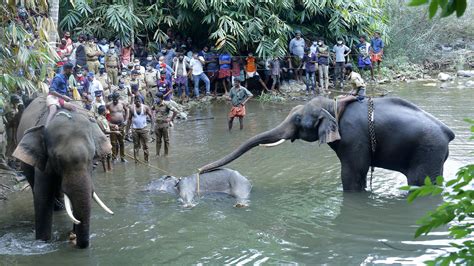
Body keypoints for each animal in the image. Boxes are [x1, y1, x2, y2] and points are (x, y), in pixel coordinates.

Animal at [13, 96, 114, 248]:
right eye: (57, 158)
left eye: (92, 157)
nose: (74, 237)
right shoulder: (44, 162)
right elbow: (42, 197)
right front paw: (42, 242)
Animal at [198, 96, 454, 190]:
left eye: (298, 119)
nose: (200, 171)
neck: (334, 105)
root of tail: (447, 132)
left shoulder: (353, 137)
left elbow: (353, 173)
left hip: (428, 151)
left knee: (422, 182)